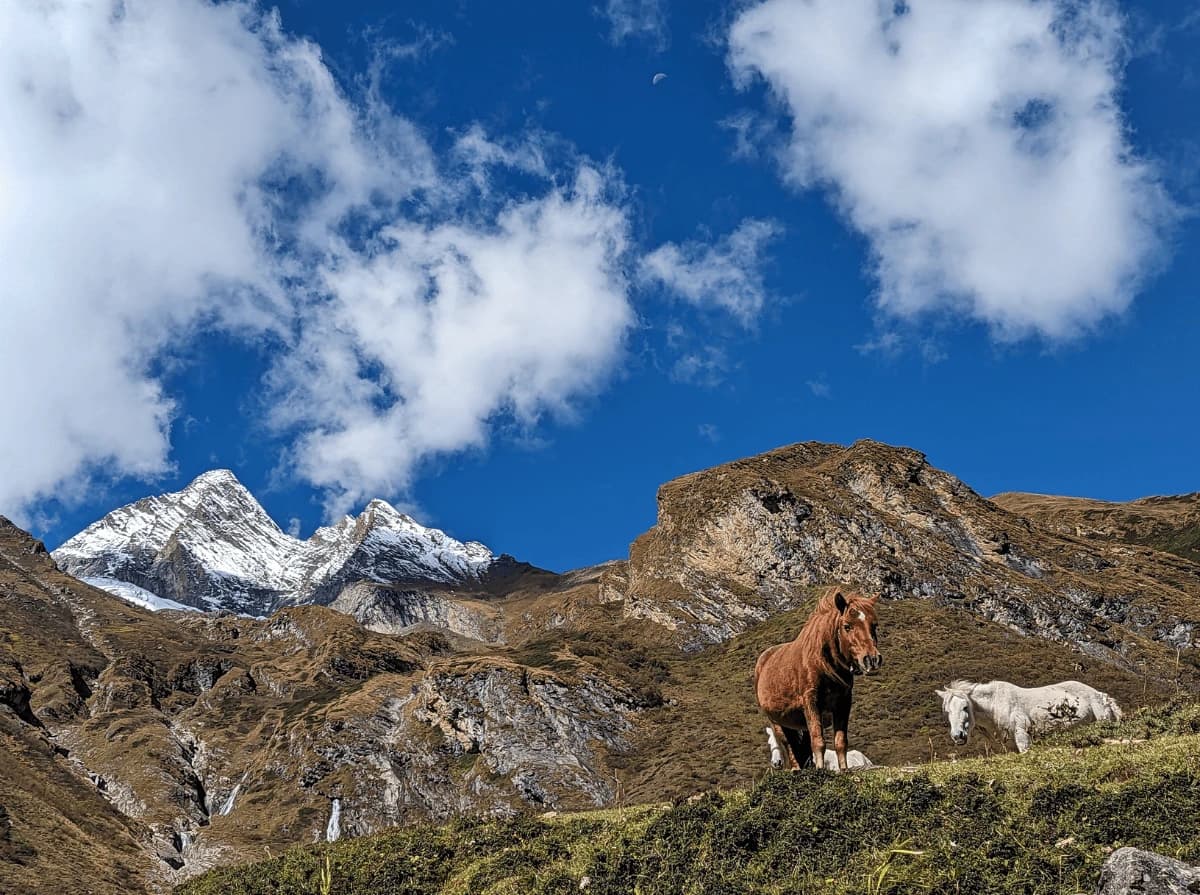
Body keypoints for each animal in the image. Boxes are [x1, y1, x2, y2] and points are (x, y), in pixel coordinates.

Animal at [758, 585, 883, 767]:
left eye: (874, 625)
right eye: (847, 626)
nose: (872, 659)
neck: (823, 664)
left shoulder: (843, 703)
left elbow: (840, 741)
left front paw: (844, 770)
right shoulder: (811, 702)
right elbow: (818, 742)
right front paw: (820, 769)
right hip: (777, 721)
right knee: (789, 745)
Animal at [936, 676, 1123, 753]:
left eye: (965, 707)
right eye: (948, 711)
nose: (958, 736)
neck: (996, 705)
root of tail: (1102, 696)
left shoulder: (1022, 737)